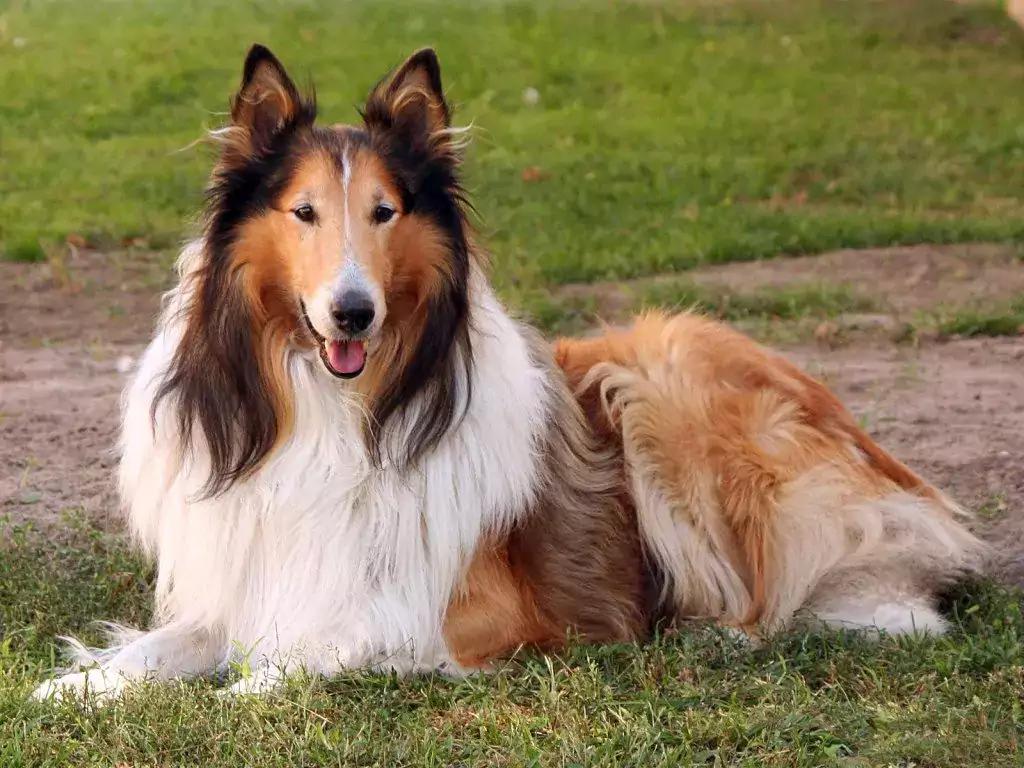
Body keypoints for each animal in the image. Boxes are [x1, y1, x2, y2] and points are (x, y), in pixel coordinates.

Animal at [36, 45, 983, 700]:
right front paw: (79, 685)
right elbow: (163, 646)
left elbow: (329, 646)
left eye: (384, 212)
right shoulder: (243, 588)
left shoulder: (468, 613)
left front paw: (251, 685)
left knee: (831, 594)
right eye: (303, 211)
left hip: (661, 380)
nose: (353, 312)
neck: (336, 407)